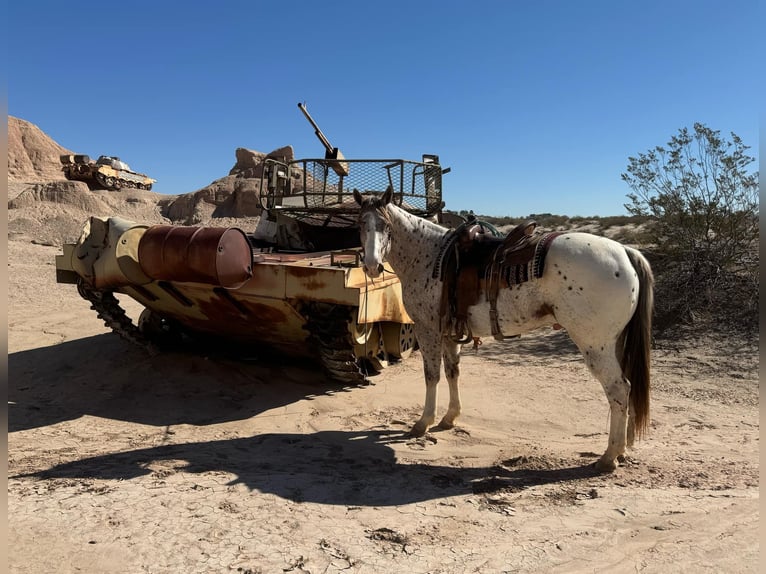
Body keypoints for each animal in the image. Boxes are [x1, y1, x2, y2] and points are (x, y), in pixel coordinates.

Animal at [353, 187, 654, 473]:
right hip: (614, 343)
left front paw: (423, 423)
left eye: (386, 225)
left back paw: (609, 457)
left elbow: (431, 376)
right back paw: (622, 449)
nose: (372, 266)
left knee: (618, 390)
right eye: (361, 223)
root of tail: (625, 251)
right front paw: (450, 417)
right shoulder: (450, 333)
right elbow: (452, 373)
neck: (429, 256)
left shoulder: (427, 330)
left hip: (594, 345)